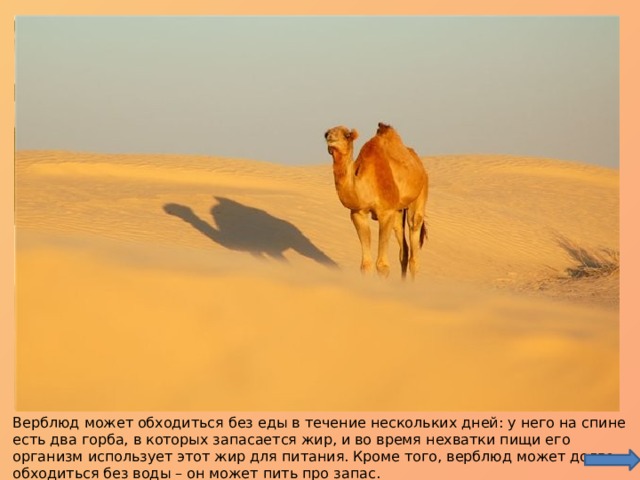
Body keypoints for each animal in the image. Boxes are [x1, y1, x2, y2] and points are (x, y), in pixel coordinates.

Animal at [324, 122, 428, 279]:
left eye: (347, 135)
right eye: (327, 133)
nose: (330, 137)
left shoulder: (386, 212)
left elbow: (382, 266)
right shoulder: (358, 213)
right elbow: (366, 265)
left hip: (420, 194)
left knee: (414, 231)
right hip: (398, 211)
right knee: (403, 248)